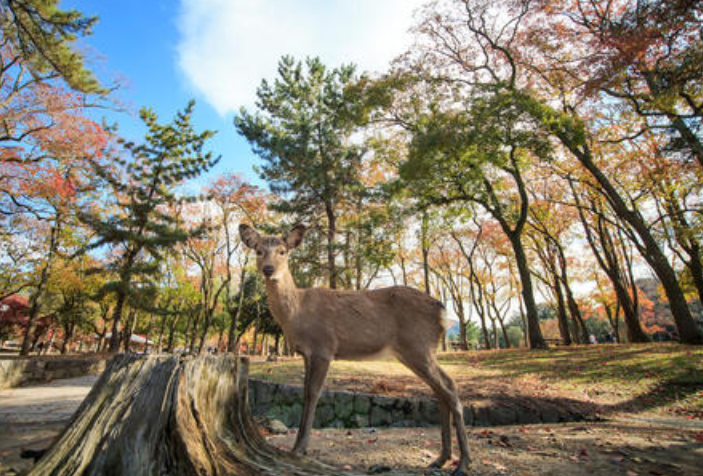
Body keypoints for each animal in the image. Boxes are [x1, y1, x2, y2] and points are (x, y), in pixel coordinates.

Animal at [241, 224, 472, 476]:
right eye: (258, 251)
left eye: (282, 251)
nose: (268, 269)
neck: (296, 315)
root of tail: (442, 312)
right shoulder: (307, 353)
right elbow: (304, 393)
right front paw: (298, 446)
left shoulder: (323, 347)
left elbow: (313, 394)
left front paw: (299, 448)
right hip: (417, 351)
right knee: (442, 389)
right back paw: (441, 458)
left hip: (418, 346)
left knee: (449, 387)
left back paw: (463, 463)